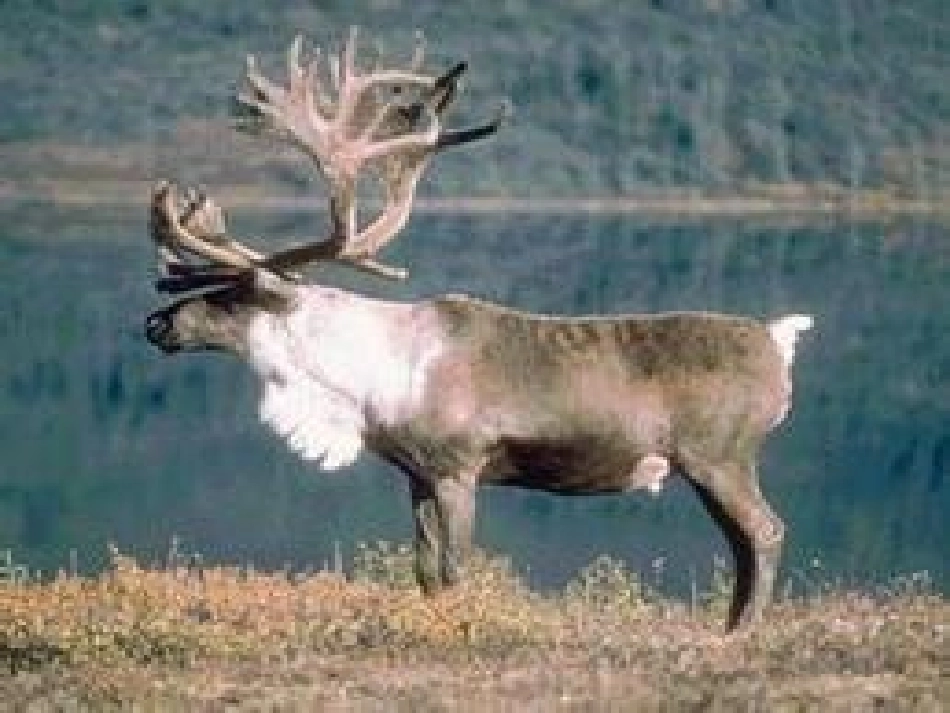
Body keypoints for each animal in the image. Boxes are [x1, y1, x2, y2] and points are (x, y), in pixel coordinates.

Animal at [144, 27, 812, 633]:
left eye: (234, 293)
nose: (156, 322)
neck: (364, 378)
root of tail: (777, 340)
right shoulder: (415, 474)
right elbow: (425, 573)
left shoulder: (457, 466)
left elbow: (456, 571)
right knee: (745, 542)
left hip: (719, 454)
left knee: (765, 532)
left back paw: (740, 635)